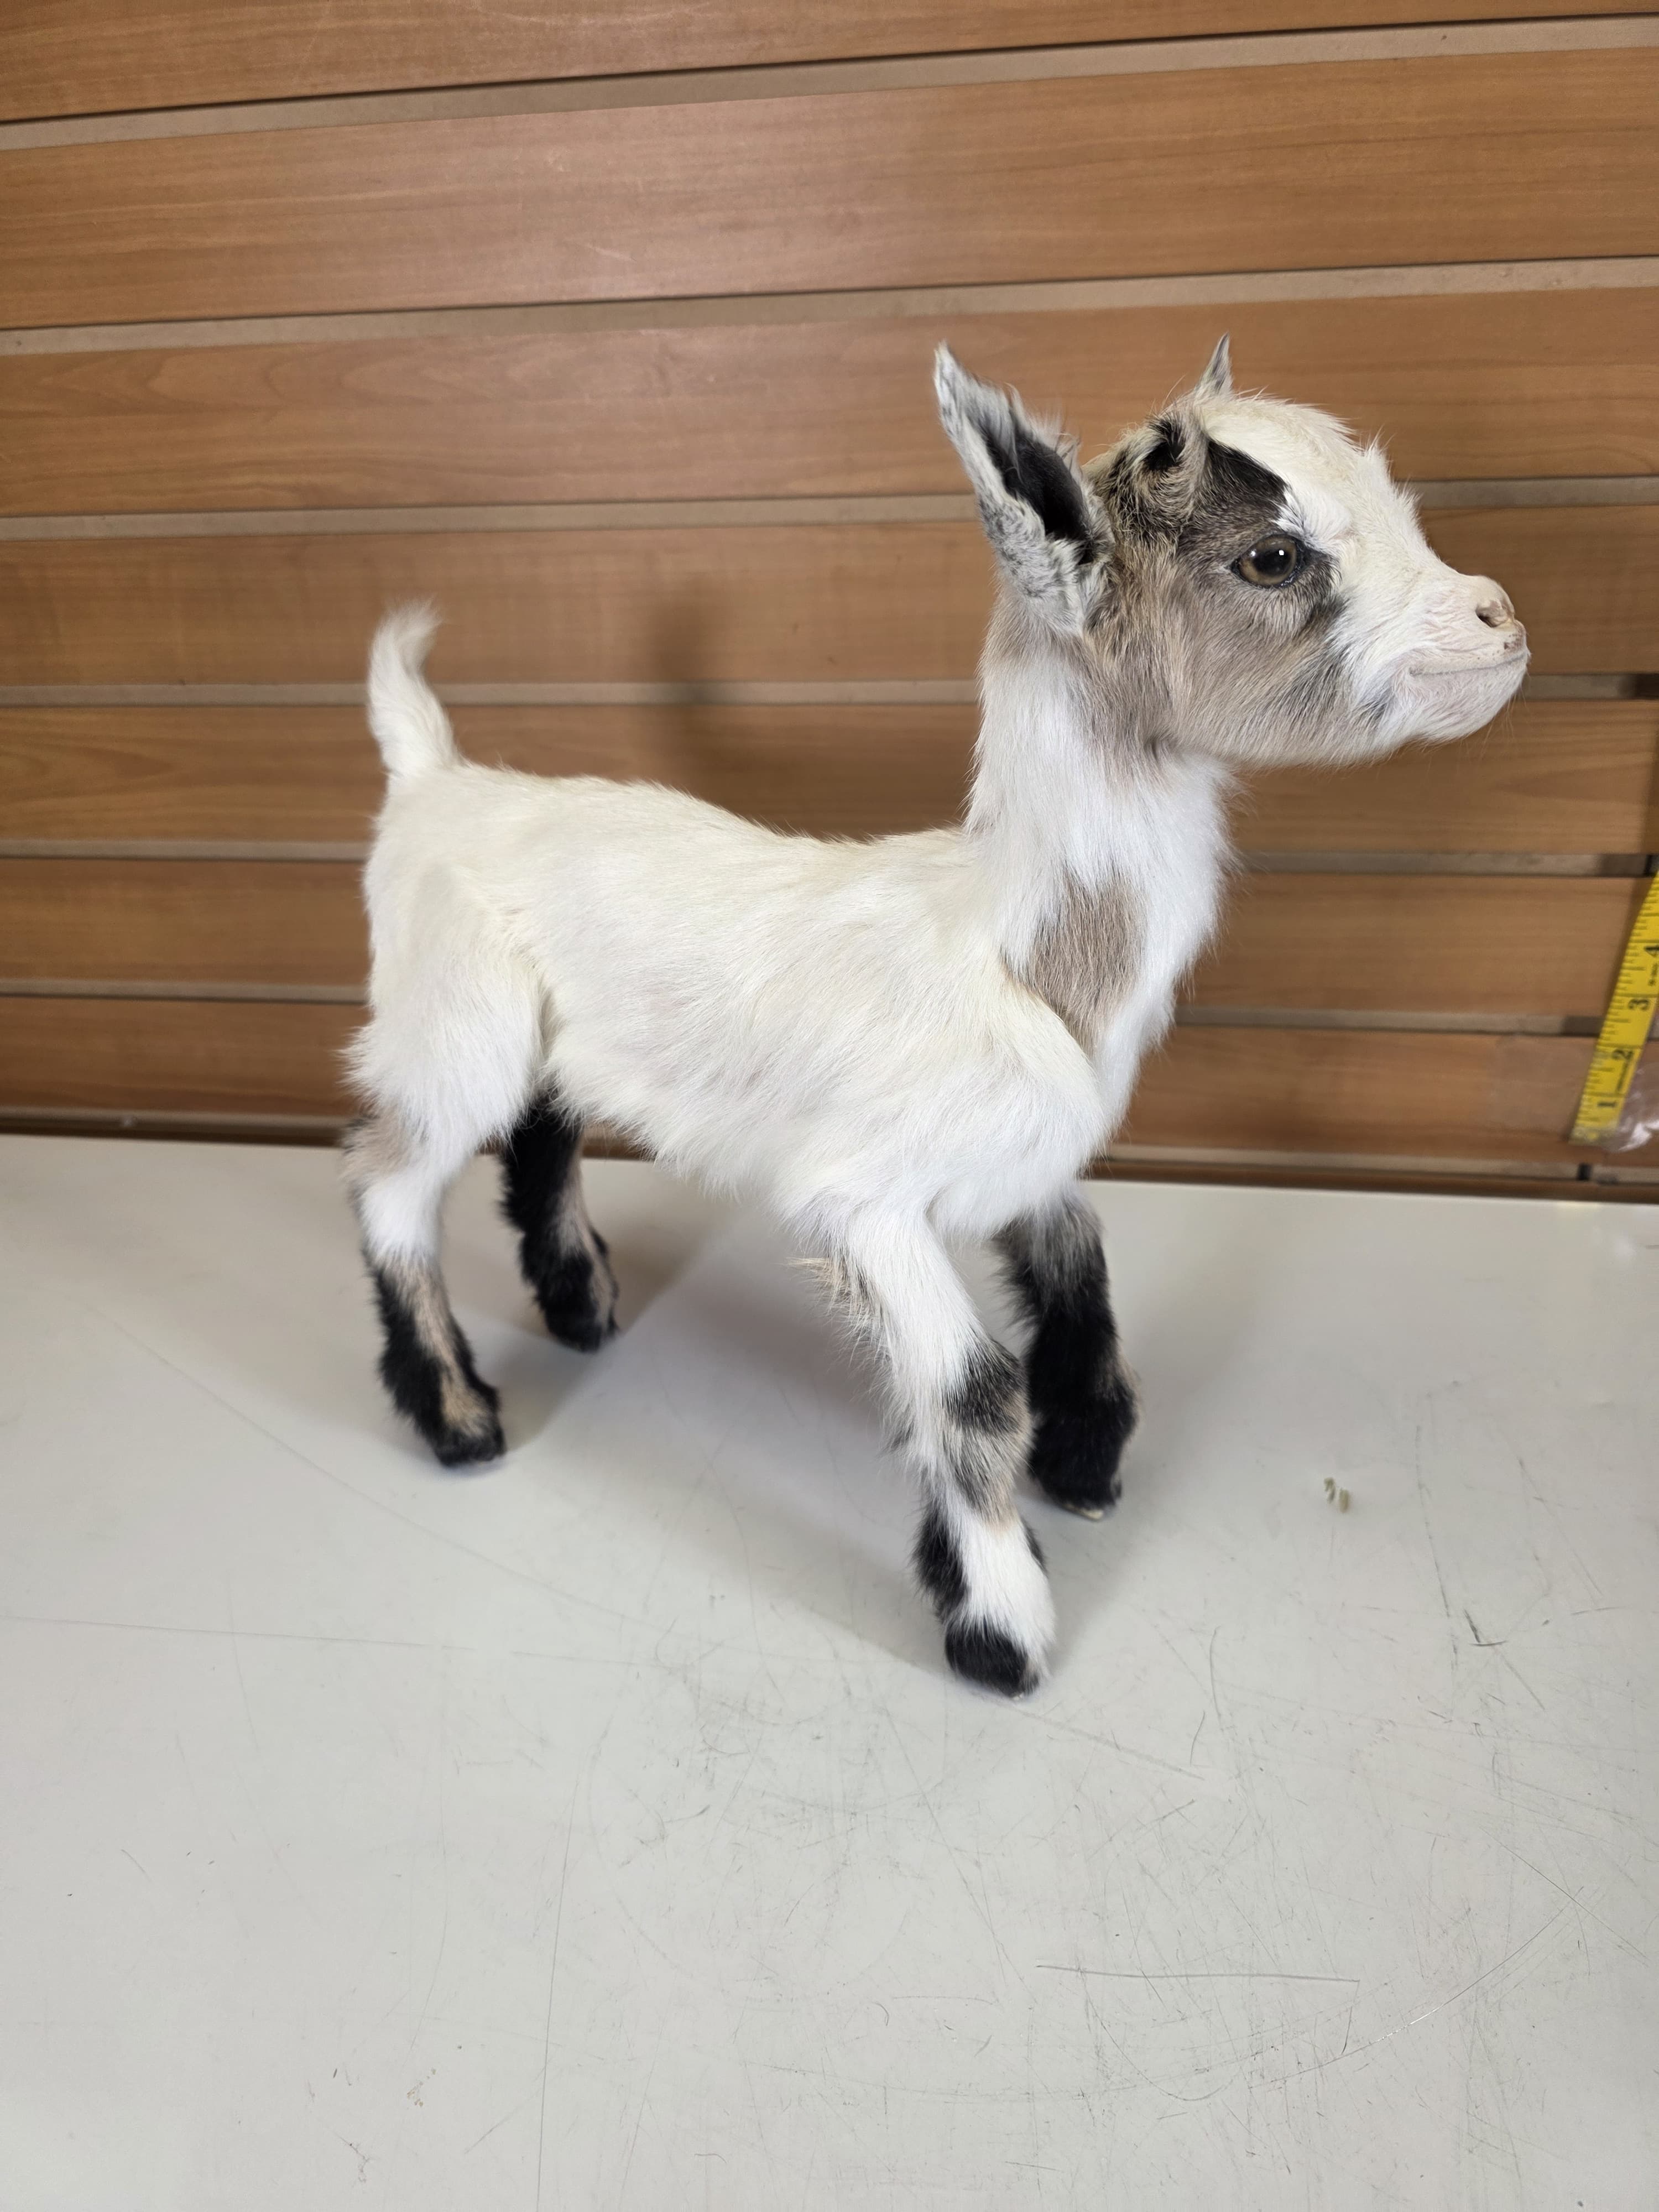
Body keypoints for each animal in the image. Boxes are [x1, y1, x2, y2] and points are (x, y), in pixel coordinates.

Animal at [343, 341, 1527, 1695]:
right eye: (1273, 556)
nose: (1500, 619)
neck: (1017, 956)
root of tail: (432, 777)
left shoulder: (1027, 1158)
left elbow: (1085, 1270)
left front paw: (1089, 1460)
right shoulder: (861, 1199)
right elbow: (970, 1393)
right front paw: (1001, 1626)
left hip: (541, 1033)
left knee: (540, 1129)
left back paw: (584, 1310)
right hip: (448, 1017)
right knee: (390, 1177)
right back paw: (459, 1419)